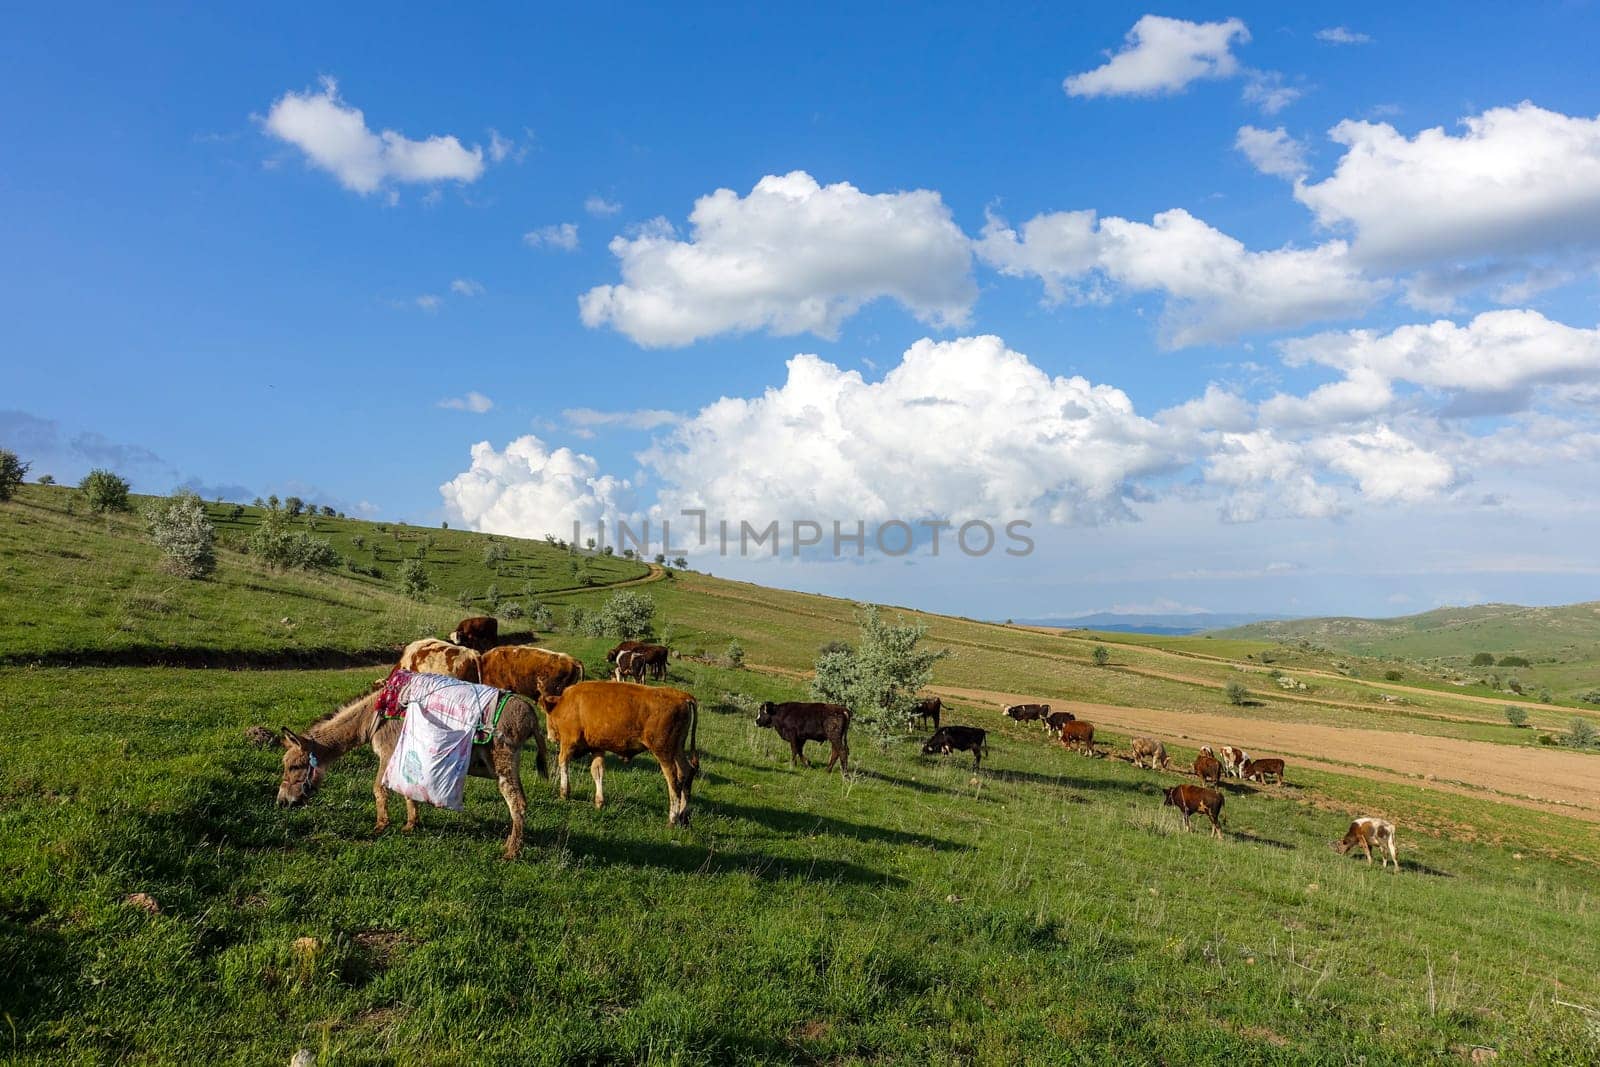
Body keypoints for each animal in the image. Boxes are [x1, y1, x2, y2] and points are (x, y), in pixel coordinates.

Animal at [540, 684, 697, 825]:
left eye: (548, 714)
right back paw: (683, 816)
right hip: (677, 749)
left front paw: (564, 793)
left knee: (673, 781)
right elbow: (597, 771)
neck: (565, 703)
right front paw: (599, 802)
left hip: (663, 752)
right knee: (686, 772)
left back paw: (672, 819)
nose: (549, 737)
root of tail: (682, 696)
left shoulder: (568, 743)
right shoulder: (597, 748)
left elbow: (563, 763)